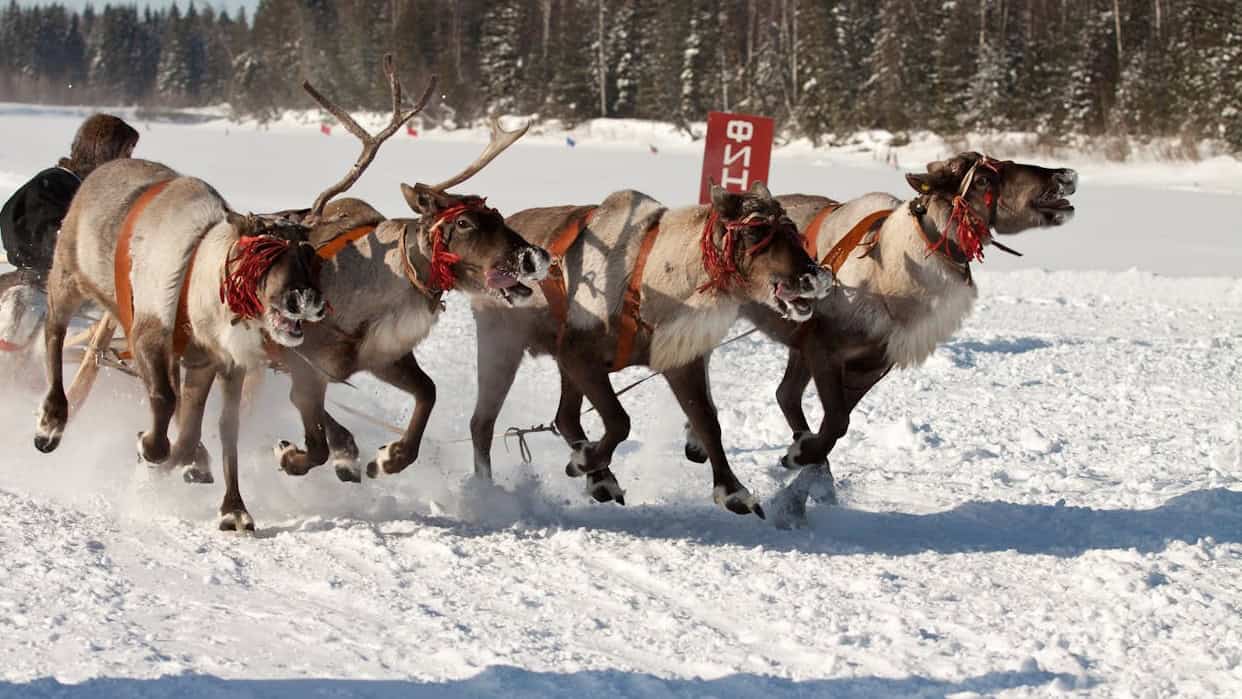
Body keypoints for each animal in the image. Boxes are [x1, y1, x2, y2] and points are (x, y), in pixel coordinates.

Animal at [469, 181, 834, 519]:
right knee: (482, 423)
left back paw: (600, 480)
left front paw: (733, 491)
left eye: (793, 229)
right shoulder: (579, 354)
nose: (817, 277)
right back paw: (488, 493)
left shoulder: (680, 363)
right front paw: (584, 460)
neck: (653, 281)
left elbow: (707, 422)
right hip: (501, 344)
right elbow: (620, 420)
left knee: (565, 416)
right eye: (755, 230)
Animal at [679, 153, 1078, 526]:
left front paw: (801, 473)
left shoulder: (869, 366)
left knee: (784, 393)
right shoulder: (825, 350)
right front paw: (799, 459)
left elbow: (835, 426)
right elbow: (836, 421)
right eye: (981, 179)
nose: (1065, 174)